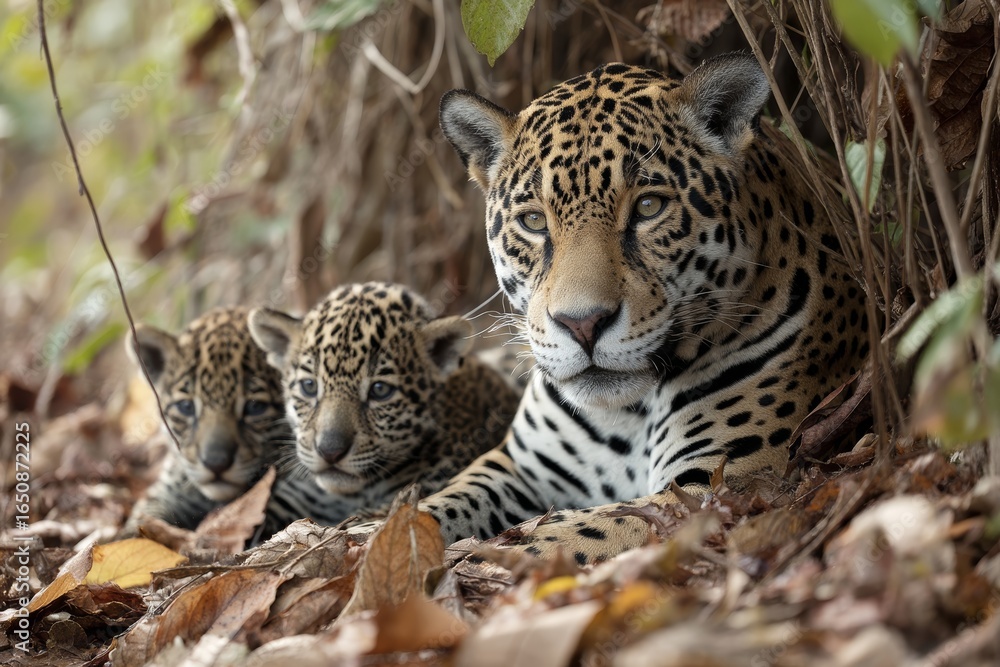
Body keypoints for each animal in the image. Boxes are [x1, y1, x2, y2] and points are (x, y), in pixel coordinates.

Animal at [353, 53, 870, 564]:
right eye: (534, 221)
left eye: (648, 207)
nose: (582, 324)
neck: (627, 413)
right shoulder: (517, 467)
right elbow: (439, 504)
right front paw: (368, 542)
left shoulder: (717, 484)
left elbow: (567, 537)